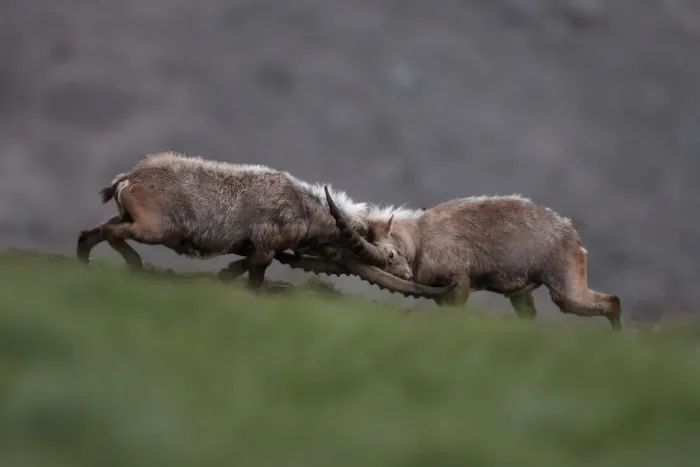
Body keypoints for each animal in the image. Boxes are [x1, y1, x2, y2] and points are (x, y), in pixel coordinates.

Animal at [76, 151, 455, 299]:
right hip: (153, 229)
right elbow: (256, 274)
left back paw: (84, 260)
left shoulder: (256, 248)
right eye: (390, 255)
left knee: (94, 230)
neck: (304, 208)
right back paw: (136, 265)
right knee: (110, 232)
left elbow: (240, 265)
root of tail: (128, 179)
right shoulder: (266, 246)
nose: (407, 274)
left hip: (130, 217)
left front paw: (223, 276)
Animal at [323, 186, 623, 330]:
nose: (407, 276)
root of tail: (571, 234)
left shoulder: (459, 282)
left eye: (391, 253)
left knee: (611, 301)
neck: (421, 238)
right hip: (521, 294)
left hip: (565, 287)